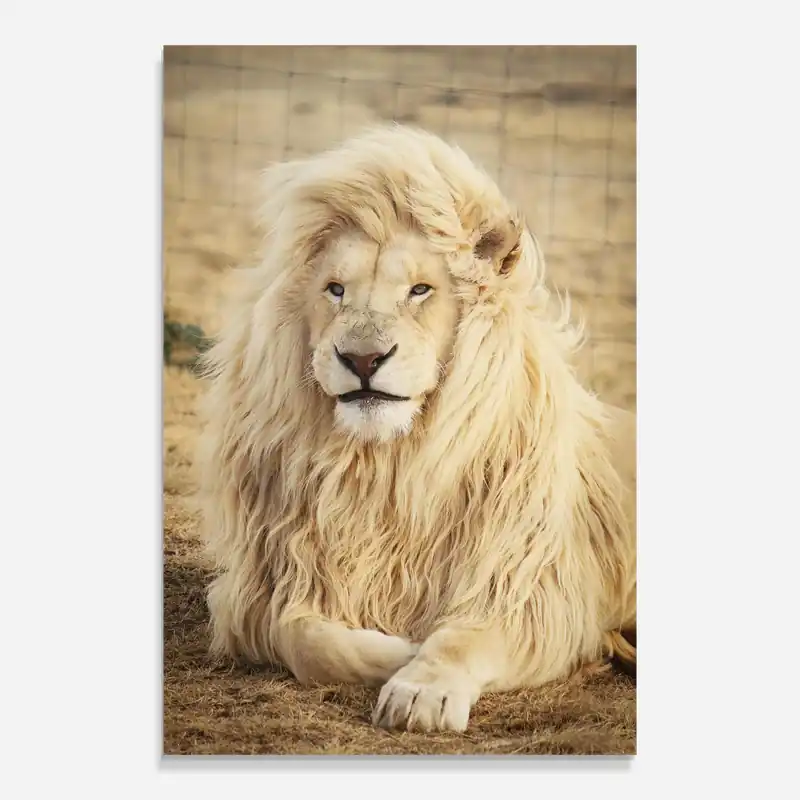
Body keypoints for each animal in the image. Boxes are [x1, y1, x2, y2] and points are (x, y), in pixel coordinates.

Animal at [195, 124, 636, 733]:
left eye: (420, 290)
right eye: (335, 290)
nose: (362, 358)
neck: (385, 466)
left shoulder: (532, 591)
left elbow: (462, 638)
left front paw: (420, 687)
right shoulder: (268, 588)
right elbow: (305, 638)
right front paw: (398, 649)